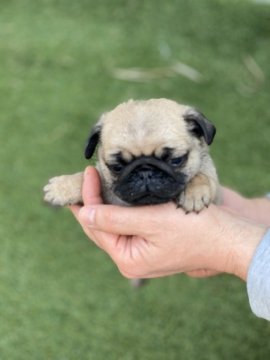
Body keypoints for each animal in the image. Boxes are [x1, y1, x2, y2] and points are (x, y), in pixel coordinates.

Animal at [43, 97, 219, 212]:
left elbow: (201, 175)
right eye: (116, 167)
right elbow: (90, 177)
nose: (145, 172)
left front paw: (193, 194)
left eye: (176, 160)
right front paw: (62, 187)